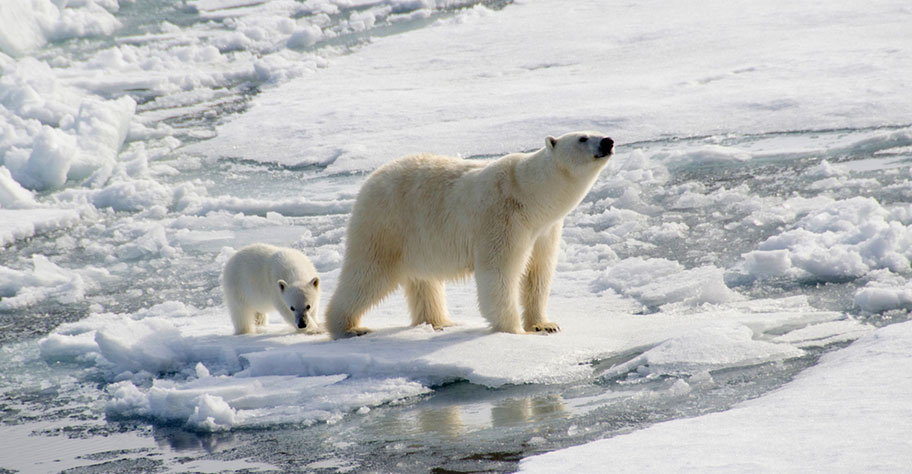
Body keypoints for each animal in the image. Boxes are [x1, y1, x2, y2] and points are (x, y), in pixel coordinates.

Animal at [324, 131, 616, 338]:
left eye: (596, 130)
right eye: (582, 137)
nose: (609, 141)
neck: (530, 196)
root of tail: (369, 181)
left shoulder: (545, 230)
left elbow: (538, 273)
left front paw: (544, 325)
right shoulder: (502, 219)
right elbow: (499, 273)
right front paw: (514, 331)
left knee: (423, 281)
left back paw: (440, 321)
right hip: (386, 224)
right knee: (368, 273)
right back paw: (349, 327)